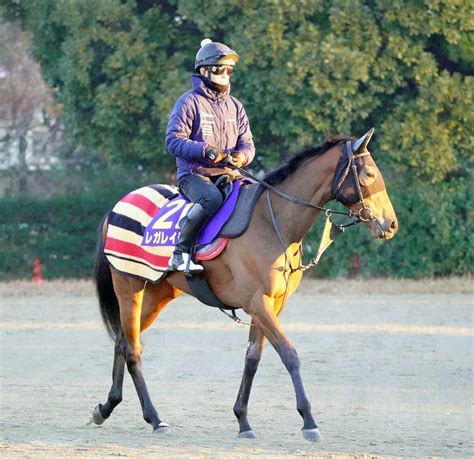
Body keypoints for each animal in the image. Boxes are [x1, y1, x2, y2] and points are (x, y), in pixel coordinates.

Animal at [91, 128, 396, 442]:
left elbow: (252, 358)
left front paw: (243, 420)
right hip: (129, 288)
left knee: (122, 341)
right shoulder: (258, 303)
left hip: (156, 294)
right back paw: (154, 417)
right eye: (369, 174)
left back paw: (106, 407)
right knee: (133, 350)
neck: (271, 222)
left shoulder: (271, 305)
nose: (391, 224)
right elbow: (289, 354)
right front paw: (309, 421)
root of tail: (117, 207)